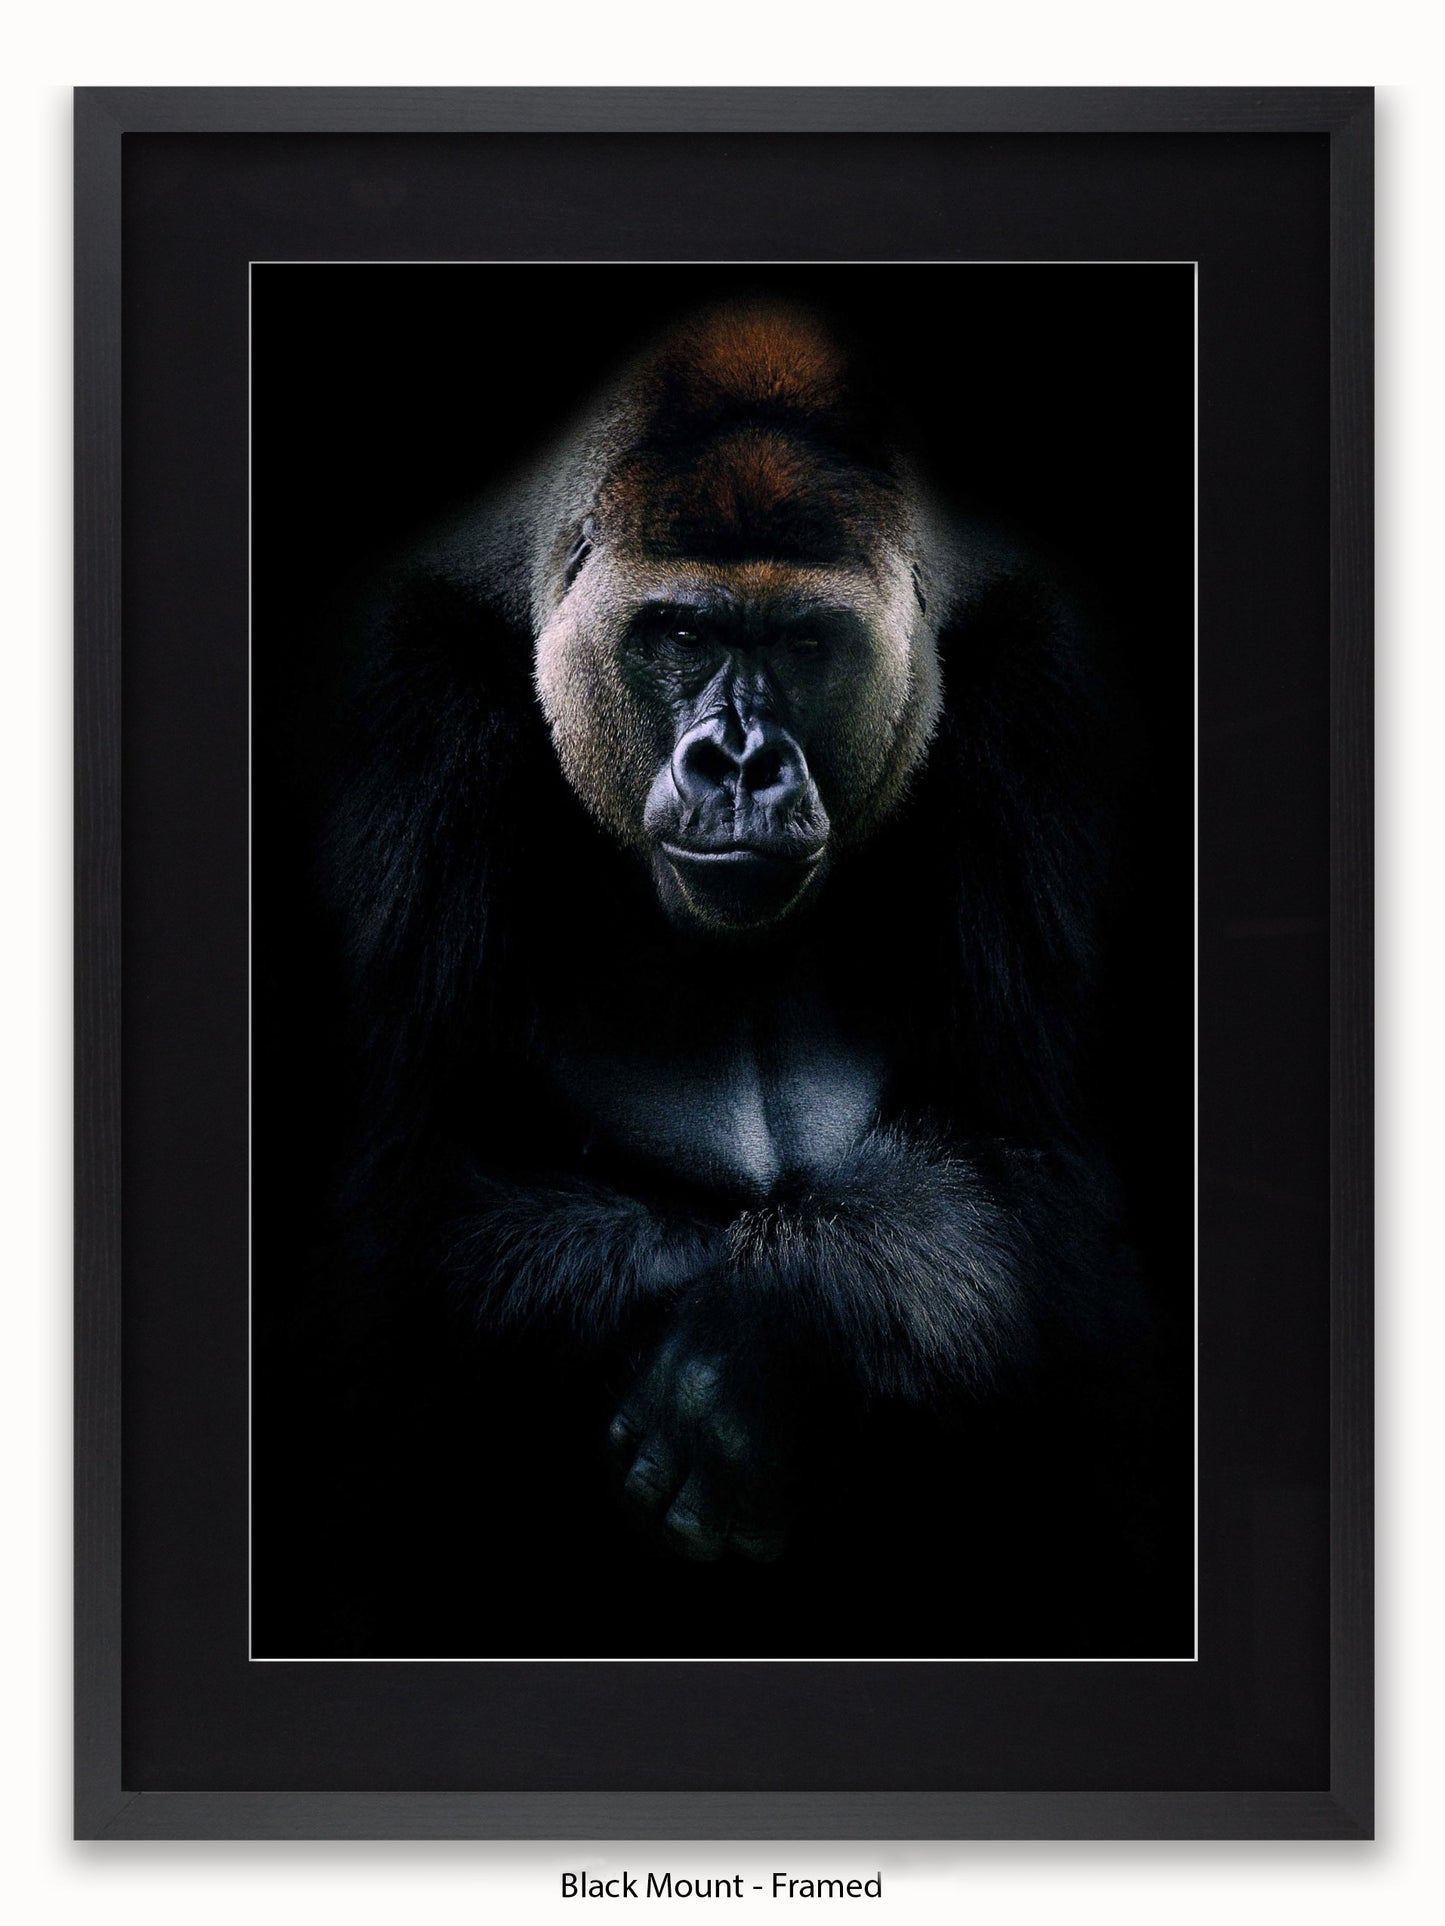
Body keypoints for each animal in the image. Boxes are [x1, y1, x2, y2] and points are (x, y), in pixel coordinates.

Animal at [289, 300, 1180, 1655]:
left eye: (805, 642)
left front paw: (766, 1345)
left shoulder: (1047, 682)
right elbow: (402, 1212)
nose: (743, 762)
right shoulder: (393, 694)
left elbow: (1039, 1180)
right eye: (683, 632)